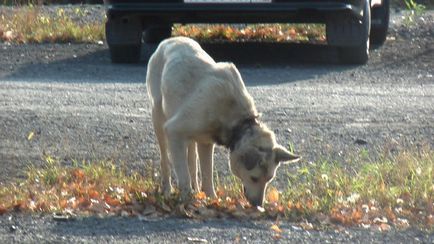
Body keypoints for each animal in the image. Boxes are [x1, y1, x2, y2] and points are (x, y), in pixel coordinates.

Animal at [147, 36, 300, 206]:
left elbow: (207, 175)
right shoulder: (174, 131)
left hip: (191, 137)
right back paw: (167, 190)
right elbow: (183, 175)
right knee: (165, 160)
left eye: (269, 179)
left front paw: (211, 199)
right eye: (254, 178)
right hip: (159, 120)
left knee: (192, 161)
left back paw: (196, 190)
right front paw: (186, 200)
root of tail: (170, 40)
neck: (240, 122)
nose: (258, 205)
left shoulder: (206, 143)